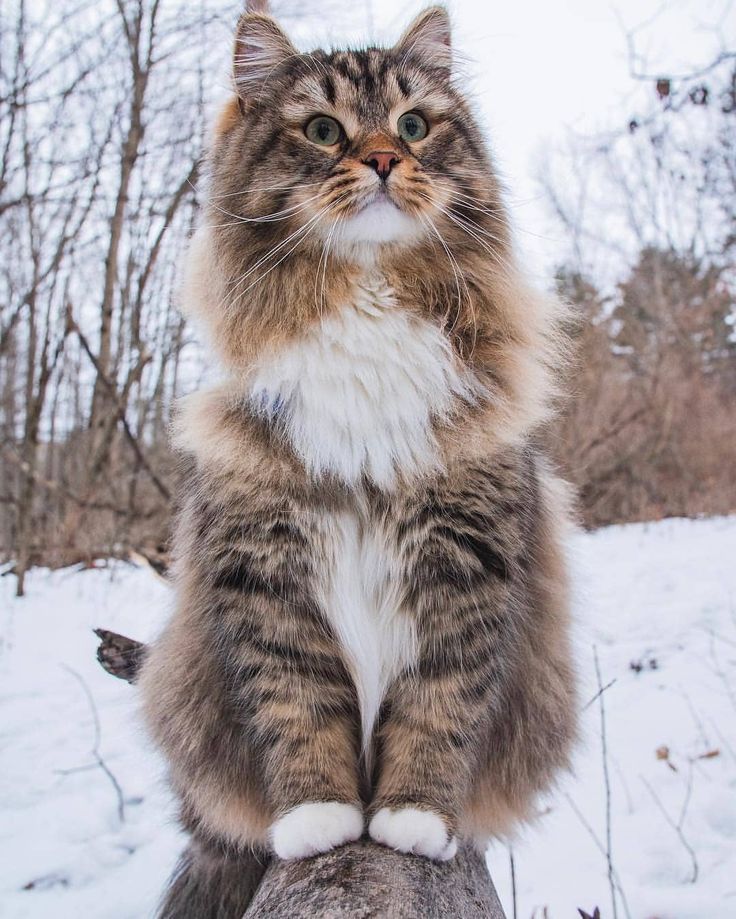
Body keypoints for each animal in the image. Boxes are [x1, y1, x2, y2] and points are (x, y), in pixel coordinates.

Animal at [137, 5, 576, 912]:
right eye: (322, 130)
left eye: (412, 125)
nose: (381, 159)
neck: (367, 313)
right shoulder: (264, 570)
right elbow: (298, 709)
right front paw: (321, 818)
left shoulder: (467, 563)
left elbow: (437, 709)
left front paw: (412, 817)